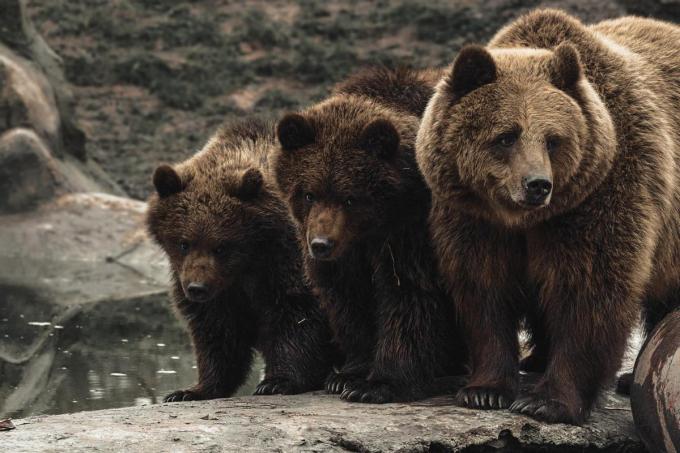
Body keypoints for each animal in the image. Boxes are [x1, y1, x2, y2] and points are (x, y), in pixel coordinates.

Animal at [145, 118, 336, 400]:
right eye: (183, 243)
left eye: (221, 247)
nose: (197, 288)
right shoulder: (217, 289)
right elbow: (217, 330)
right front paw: (191, 390)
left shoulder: (283, 261)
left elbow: (297, 313)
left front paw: (276, 381)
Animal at [270, 66, 468, 402]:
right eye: (309, 194)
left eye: (350, 197)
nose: (321, 244)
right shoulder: (343, 255)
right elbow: (349, 298)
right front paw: (348, 374)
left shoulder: (409, 228)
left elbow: (407, 292)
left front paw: (378, 383)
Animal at [414, 7, 680, 424]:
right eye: (506, 136)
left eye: (553, 139)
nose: (537, 184)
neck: (523, 219)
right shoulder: (473, 218)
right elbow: (484, 288)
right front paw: (484, 389)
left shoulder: (597, 199)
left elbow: (587, 291)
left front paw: (547, 401)